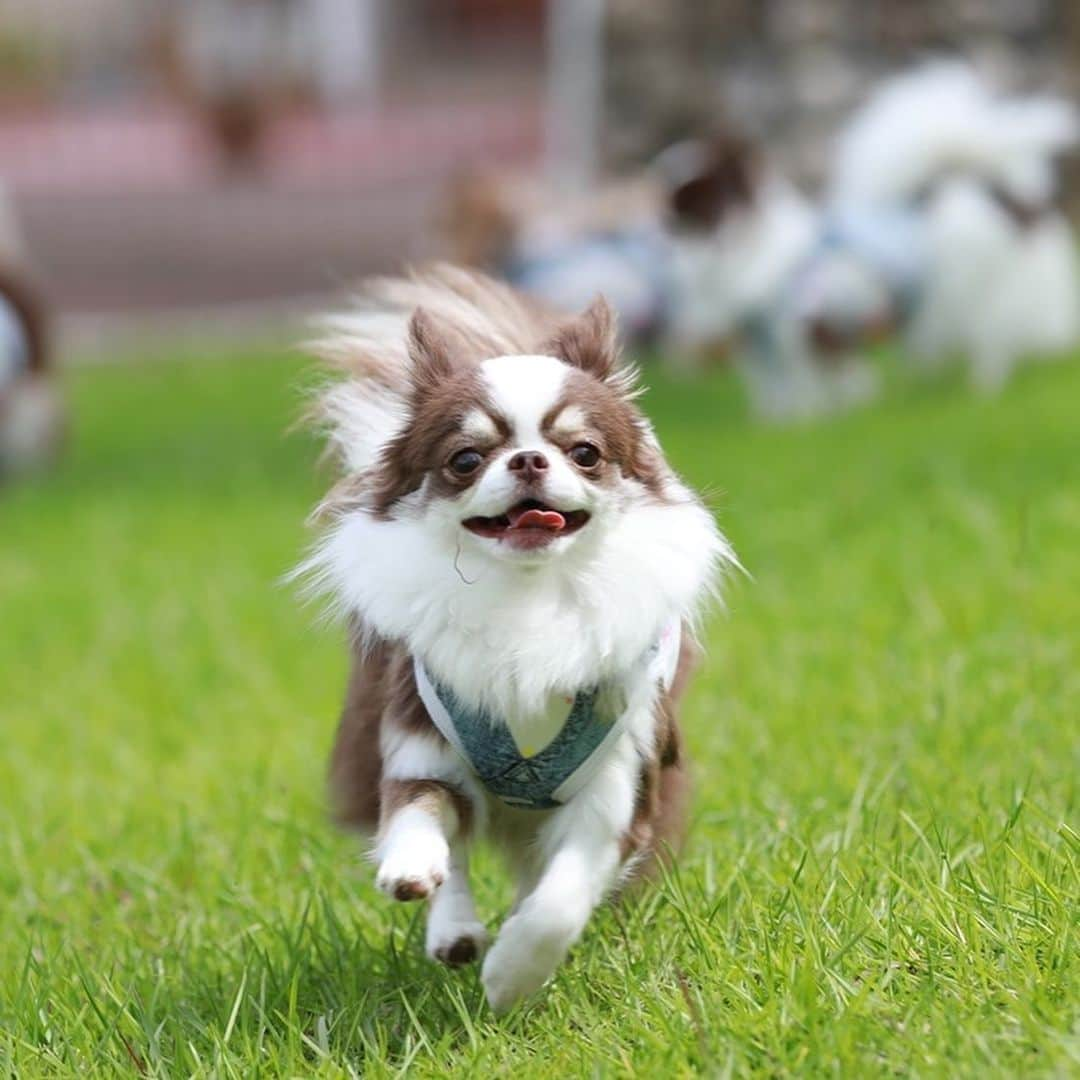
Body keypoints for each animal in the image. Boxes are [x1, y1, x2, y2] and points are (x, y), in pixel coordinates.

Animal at [300, 265, 730, 1006]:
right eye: (466, 459)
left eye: (585, 454)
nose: (529, 459)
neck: (529, 596)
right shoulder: (422, 744)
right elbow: (417, 814)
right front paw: (413, 869)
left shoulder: (619, 788)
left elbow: (559, 902)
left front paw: (511, 978)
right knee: (458, 848)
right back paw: (452, 929)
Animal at [665, 61, 1080, 419]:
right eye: (672, 209)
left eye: (696, 206)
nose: (666, 222)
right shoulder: (762, 343)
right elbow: (776, 390)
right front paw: (782, 424)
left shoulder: (808, 332)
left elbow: (816, 383)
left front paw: (819, 418)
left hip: (974, 295)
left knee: (992, 340)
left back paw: (982, 385)